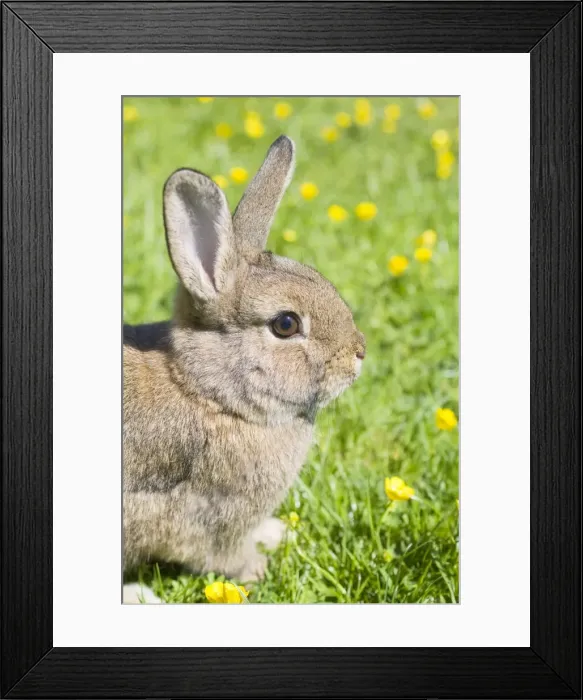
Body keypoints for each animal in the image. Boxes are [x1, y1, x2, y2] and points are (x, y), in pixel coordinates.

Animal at [123, 135, 366, 600]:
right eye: (285, 324)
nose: (358, 355)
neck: (208, 394)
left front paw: (276, 534)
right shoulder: (211, 521)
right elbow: (223, 555)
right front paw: (258, 569)